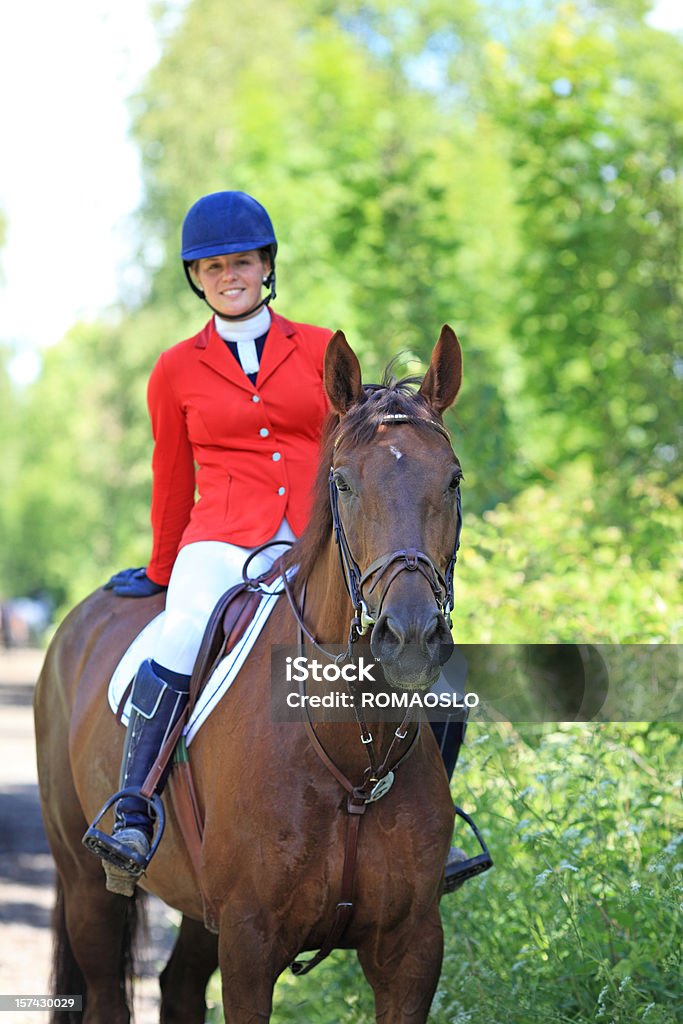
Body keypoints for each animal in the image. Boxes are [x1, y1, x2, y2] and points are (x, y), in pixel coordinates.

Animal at [34, 327, 466, 1024]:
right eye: (343, 483)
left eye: (452, 480)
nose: (409, 637)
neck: (355, 761)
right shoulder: (249, 941)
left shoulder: (413, 949)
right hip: (86, 888)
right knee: (105, 991)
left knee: (179, 985)